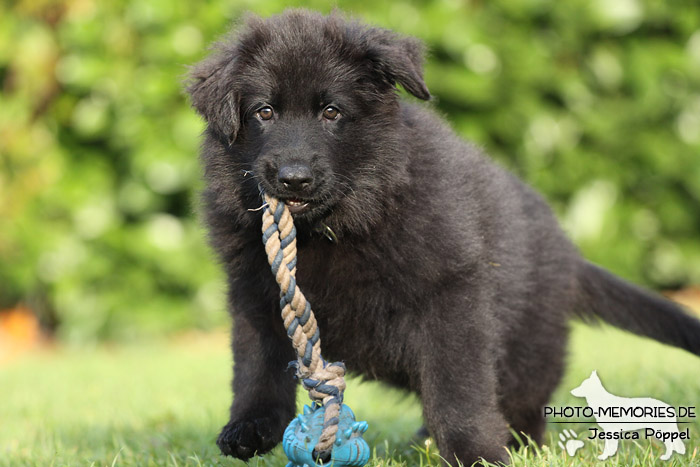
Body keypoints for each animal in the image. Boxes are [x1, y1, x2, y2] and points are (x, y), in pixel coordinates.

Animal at [185, 9, 700, 466]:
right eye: (264, 112)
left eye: (331, 112)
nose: (293, 179)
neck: (334, 227)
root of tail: (569, 254)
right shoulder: (255, 293)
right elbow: (257, 367)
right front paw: (251, 427)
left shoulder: (451, 298)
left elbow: (457, 390)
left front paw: (476, 454)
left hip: (527, 349)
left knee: (522, 405)